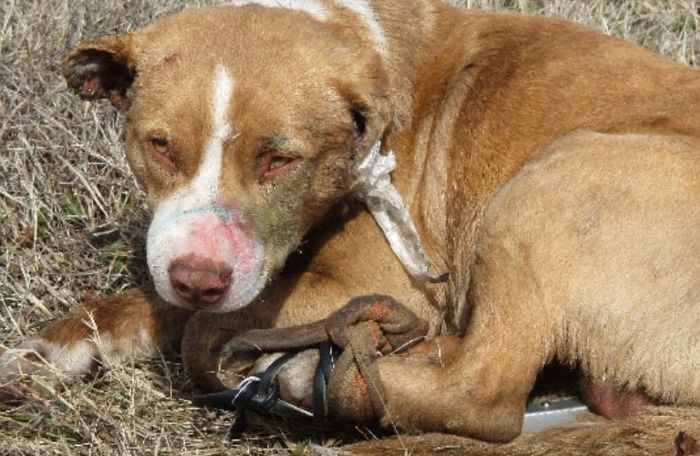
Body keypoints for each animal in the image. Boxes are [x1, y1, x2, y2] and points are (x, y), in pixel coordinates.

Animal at [1, 0, 700, 444]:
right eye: (160, 146)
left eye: (281, 159)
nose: (198, 276)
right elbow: (156, 300)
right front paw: (60, 345)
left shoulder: (371, 284)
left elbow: (203, 324)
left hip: (551, 185)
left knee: (487, 393)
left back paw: (316, 378)